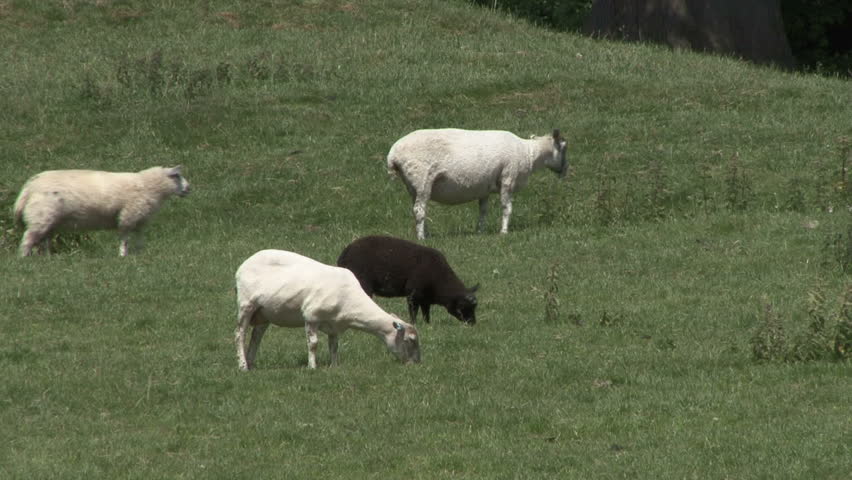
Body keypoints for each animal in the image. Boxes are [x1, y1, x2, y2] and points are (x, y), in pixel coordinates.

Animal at [13, 165, 190, 257]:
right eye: (177, 176)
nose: (189, 189)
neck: (149, 186)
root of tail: (28, 187)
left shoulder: (139, 219)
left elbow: (139, 237)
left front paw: (140, 253)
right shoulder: (128, 216)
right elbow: (125, 238)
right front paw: (123, 255)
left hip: (47, 219)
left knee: (45, 239)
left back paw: (48, 258)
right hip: (41, 215)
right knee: (28, 238)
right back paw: (24, 258)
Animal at [234, 249, 421, 370]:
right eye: (409, 340)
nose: (416, 364)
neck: (351, 301)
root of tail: (243, 265)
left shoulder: (334, 325)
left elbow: (334, 346)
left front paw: (334, 367)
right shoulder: (311, 316)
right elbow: (313, 344)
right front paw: (312, 367)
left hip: (264, 312)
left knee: (256, 337)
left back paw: (251, 364)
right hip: (246, 304)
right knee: (239, 334)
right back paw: (243, 366)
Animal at [337, 235, 479, 325]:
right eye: (463, 306)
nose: (472, 324)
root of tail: (344, 254)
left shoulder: (425, 298)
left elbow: (426, 313)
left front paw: (428, 325)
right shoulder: (413, 293)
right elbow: (413, 312)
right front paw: (414, 324)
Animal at [387, 128, 568, 239]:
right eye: (564, 148)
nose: (565, 171)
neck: (529, 154)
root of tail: (393, 155)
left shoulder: (484, 188)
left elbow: (483, 211)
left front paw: (480, 232)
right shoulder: (508, 178)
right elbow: (507, 208)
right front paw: (504, 232)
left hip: (412, 186)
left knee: (418, 209)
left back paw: (426, 233)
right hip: (422, 179)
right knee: (419, 210)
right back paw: (422, 238)